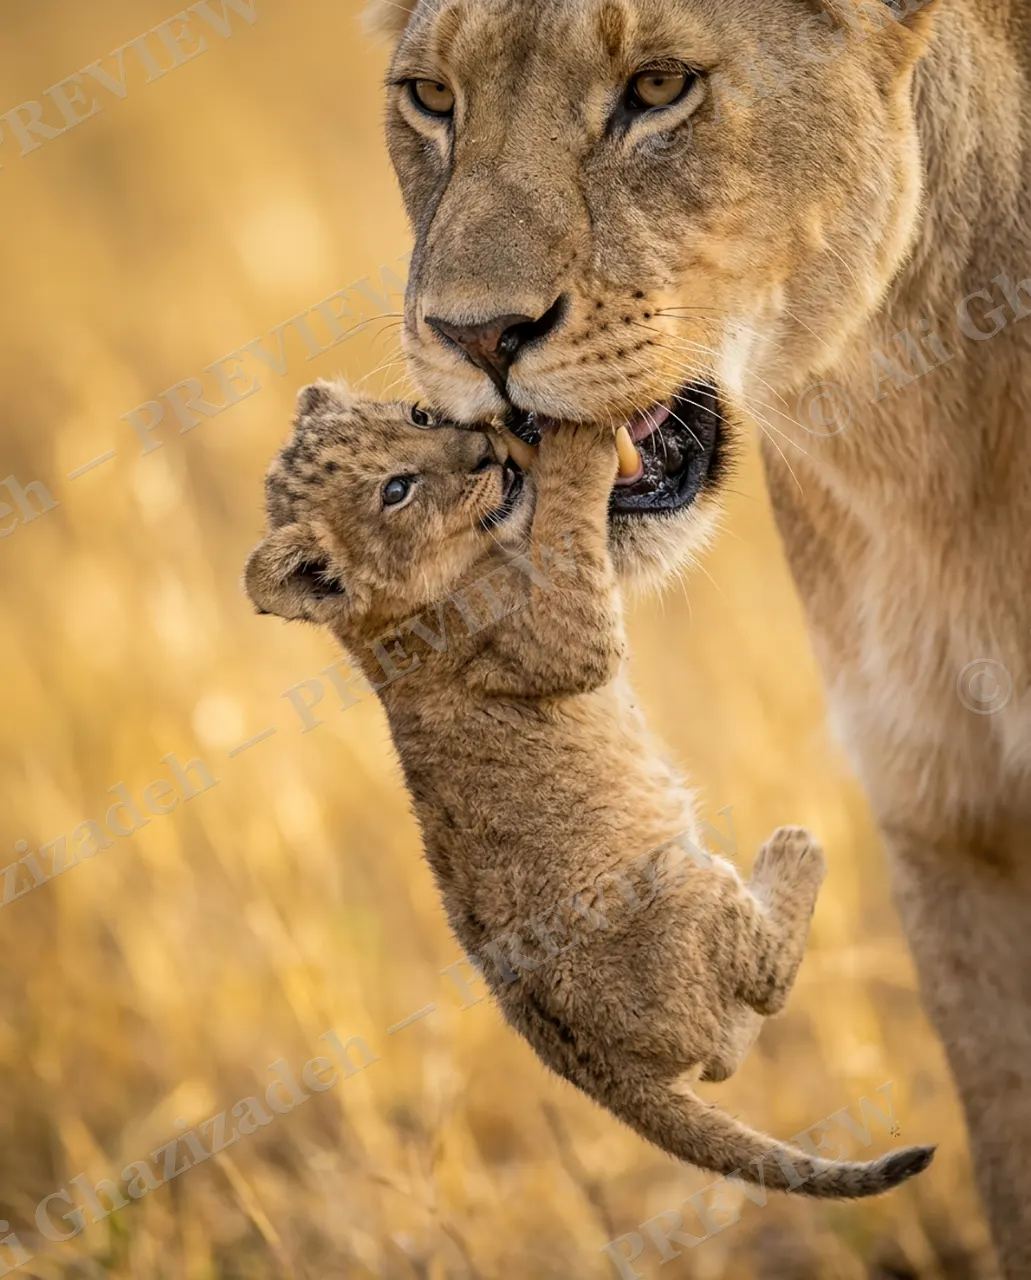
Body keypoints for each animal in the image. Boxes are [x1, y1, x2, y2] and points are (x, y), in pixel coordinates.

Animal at [245, 380, 934, 1197]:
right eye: (395, 491)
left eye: (417, 417)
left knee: (725, 1054)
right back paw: (795, 854)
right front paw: (576, 451)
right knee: (762, 986)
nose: (483, 450)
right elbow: (571, 546)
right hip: (678, 882)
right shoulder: (548, 636)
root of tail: (605, 1076)